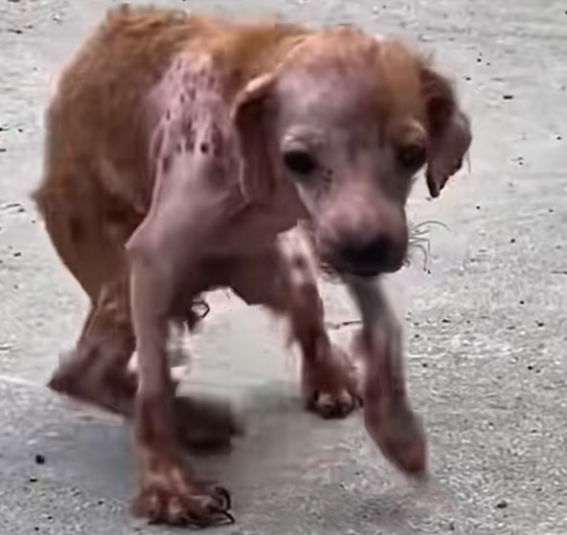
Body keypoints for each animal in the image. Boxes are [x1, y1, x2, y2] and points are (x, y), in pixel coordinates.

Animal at [32, 5, 472, 527]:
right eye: (298, 159)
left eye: (413, 154)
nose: (367, 251)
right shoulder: (154, 259)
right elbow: (153, 393)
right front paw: (171, 489)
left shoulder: (332, 230)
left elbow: (382, 325)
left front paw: (396, 429)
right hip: (121, 281)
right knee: (82, 373)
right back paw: (194, 420)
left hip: (274, 267)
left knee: (306, 311)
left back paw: (325, 379)